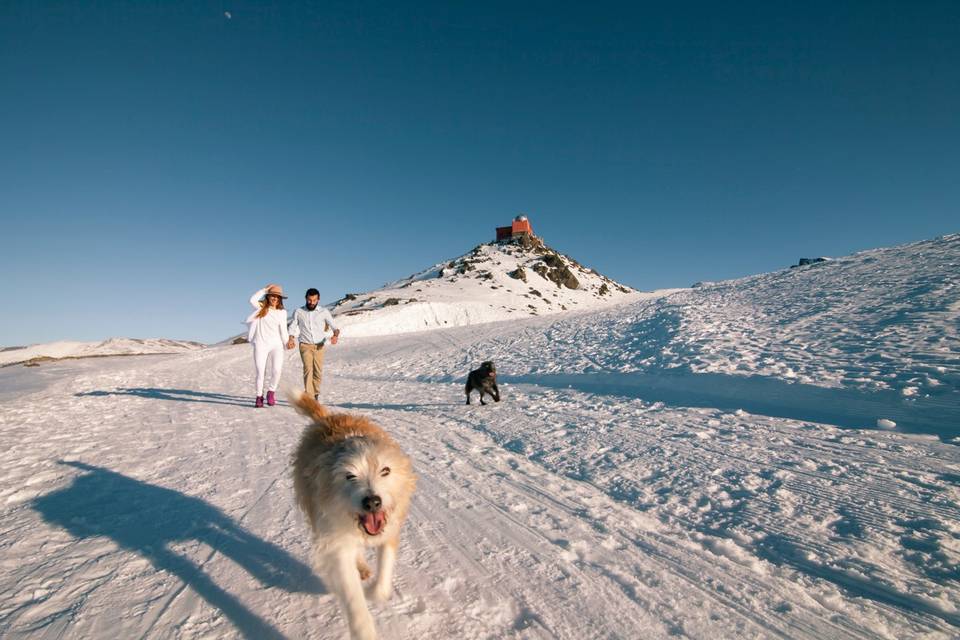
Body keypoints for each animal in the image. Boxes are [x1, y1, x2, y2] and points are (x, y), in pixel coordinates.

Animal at [290, 392, 414, 636]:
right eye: (350, 476)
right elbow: (352, 594)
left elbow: (384, 573)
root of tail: (326, 418)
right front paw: (364, 629)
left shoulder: (390, 530)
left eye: (385, 470)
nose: (372, 502)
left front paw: (373, 592)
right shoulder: (335, 542)